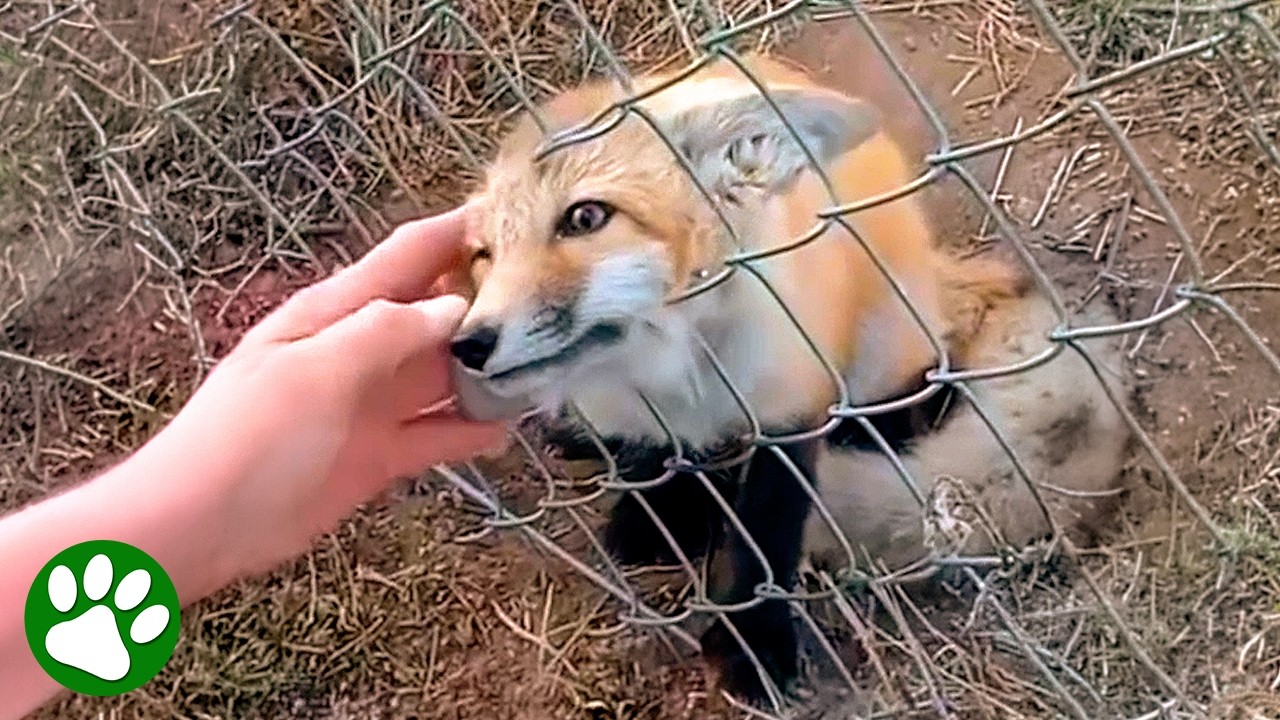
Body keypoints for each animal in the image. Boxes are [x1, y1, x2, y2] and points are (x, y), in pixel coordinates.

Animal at [440, 53, 1132, 705]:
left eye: (585, 218)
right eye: (484, 255)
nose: (468, 345)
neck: (681, 374)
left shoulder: (792, 405)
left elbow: (768, 530)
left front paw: (755, 642)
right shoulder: (639, 411)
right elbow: (657, 456)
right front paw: (658, 508)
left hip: (886, 342)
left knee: (912, 397)